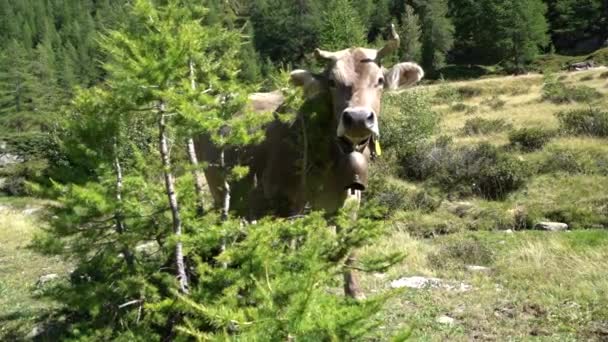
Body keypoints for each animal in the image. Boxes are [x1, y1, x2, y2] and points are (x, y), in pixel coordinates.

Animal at [195, 24, 422, 298]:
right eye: (332, 82)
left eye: (379, 80)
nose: (358, 119)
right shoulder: (286, 203)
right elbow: (290, 249)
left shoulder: (351, 203)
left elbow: (348, 248)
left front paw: (354, 292)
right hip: (218, 186)